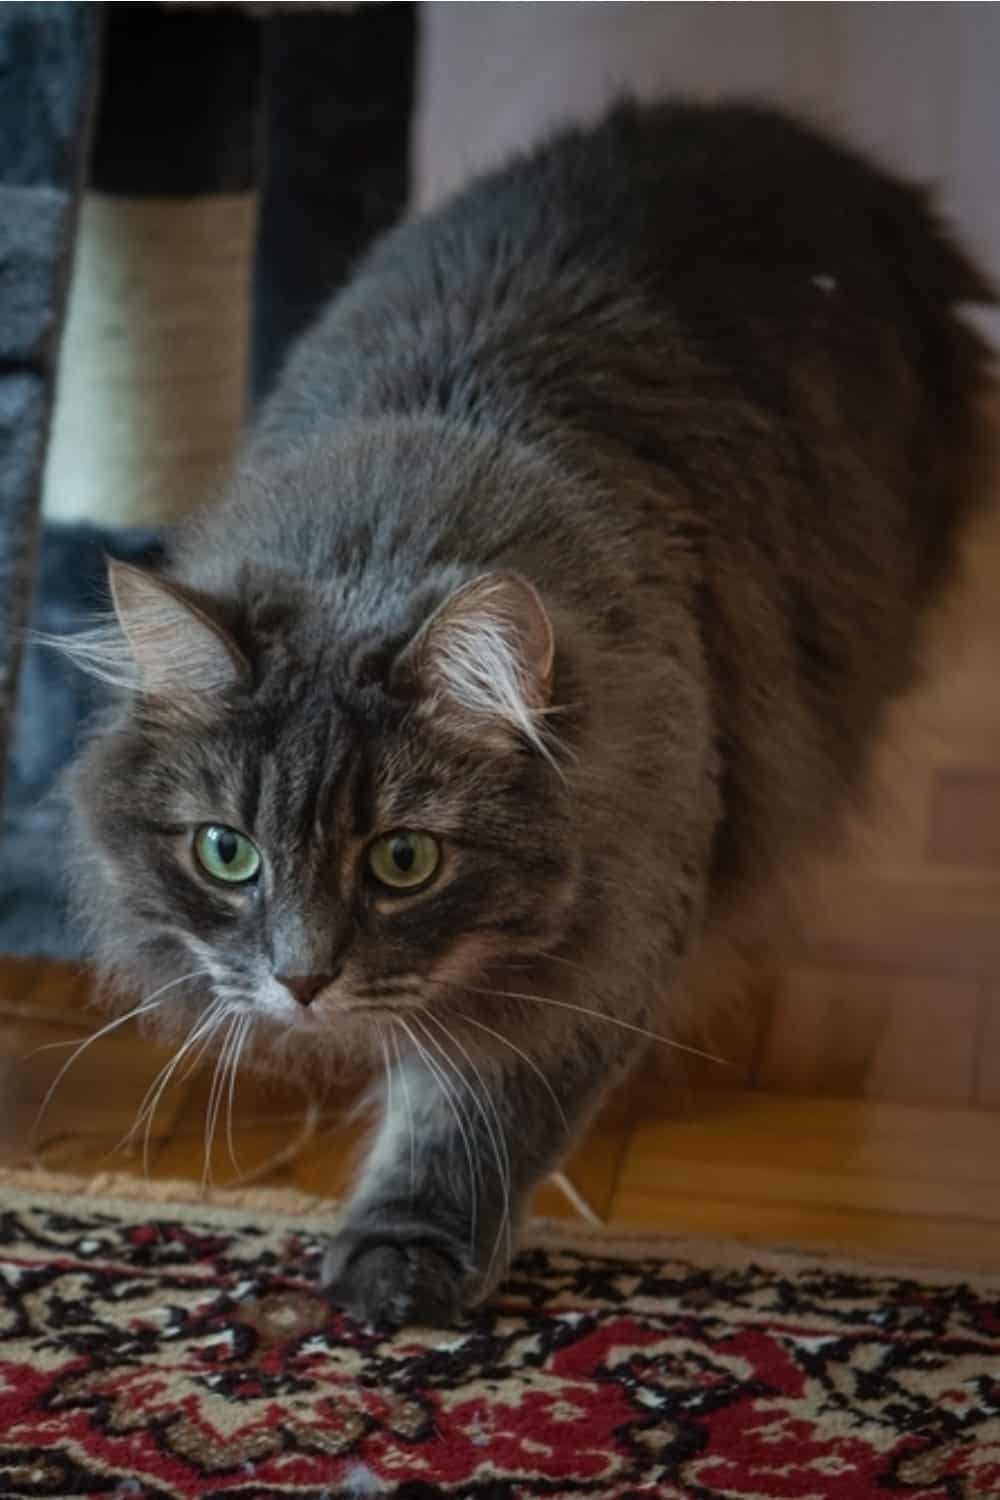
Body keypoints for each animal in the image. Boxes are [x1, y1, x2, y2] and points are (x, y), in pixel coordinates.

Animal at [62, 102, 995, 1326]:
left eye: (404, 860)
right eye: (227, 852)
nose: (303, 983)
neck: (382, 534)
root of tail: (778, 132)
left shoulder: (606, 931)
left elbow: (468, 1115)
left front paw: (398, 1269)